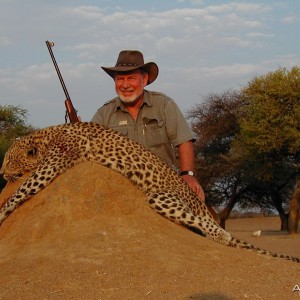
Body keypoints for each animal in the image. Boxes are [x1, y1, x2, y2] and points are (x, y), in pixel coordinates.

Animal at [0, 122, 300, 262]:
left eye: (10, 161)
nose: (2, 174)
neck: (46, 135)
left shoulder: (50, 168)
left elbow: (19, 193)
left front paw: (2, 211)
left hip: (161, 197)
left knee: (209, 226)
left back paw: (221, 235)